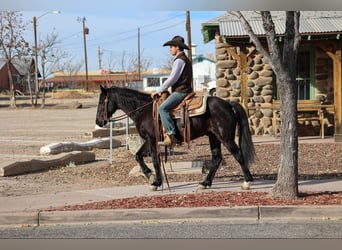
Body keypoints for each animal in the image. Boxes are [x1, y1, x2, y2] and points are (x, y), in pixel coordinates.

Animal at [95, 85, 255, 190]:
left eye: (101, 102)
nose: (98, 121)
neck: (144, 110)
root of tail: (228, 103)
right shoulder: (148, 140)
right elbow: (138, 156)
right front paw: (150, 176)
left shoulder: (152, 140)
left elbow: (155, 160)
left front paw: (156, 182)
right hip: (214, 137)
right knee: (217, 158)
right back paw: (205, 183)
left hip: (225, 137)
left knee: (238, 154)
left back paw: (247, 181)